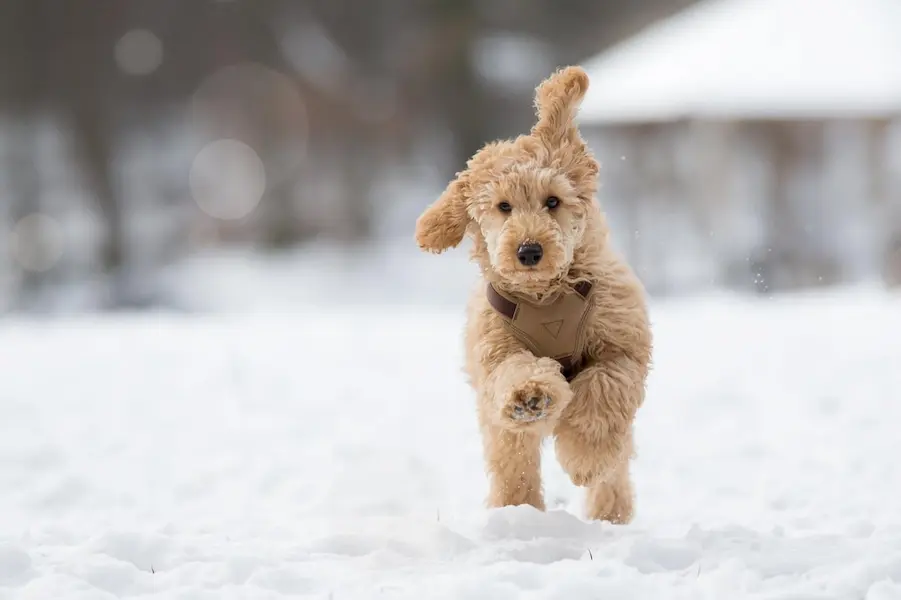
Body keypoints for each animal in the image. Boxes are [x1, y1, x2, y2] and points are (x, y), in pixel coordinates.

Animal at [412, 67, 652, 524]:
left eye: (553, 201)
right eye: (503, 206)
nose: (528, 251)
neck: (547, 297)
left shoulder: (620, 348)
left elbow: (601, 393)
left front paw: (584, 459)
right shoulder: (496, 351)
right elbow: (515, 372)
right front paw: (531, 395)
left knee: (615, 464)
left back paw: (609, 511)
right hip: (497, 424)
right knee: (513, 461)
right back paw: (516, 511)